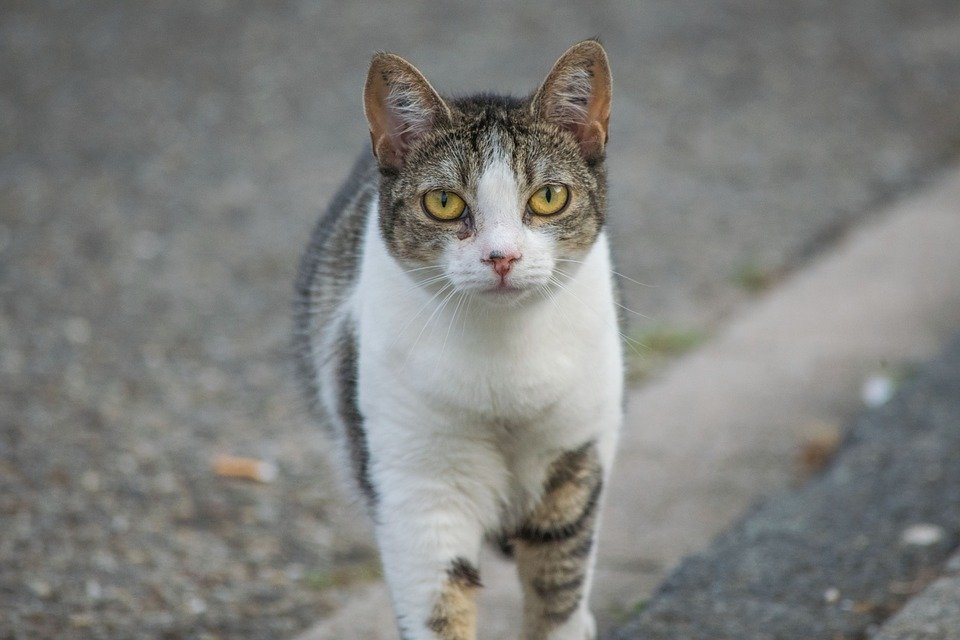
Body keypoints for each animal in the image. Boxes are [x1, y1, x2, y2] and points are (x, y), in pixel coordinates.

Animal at [294, 41, 624, 640]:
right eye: (444, 203)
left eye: (548, 197)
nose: (502, 257)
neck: (502, 357)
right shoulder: (416, 491)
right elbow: (439, 606)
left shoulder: (576, 455)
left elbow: (559, 590)